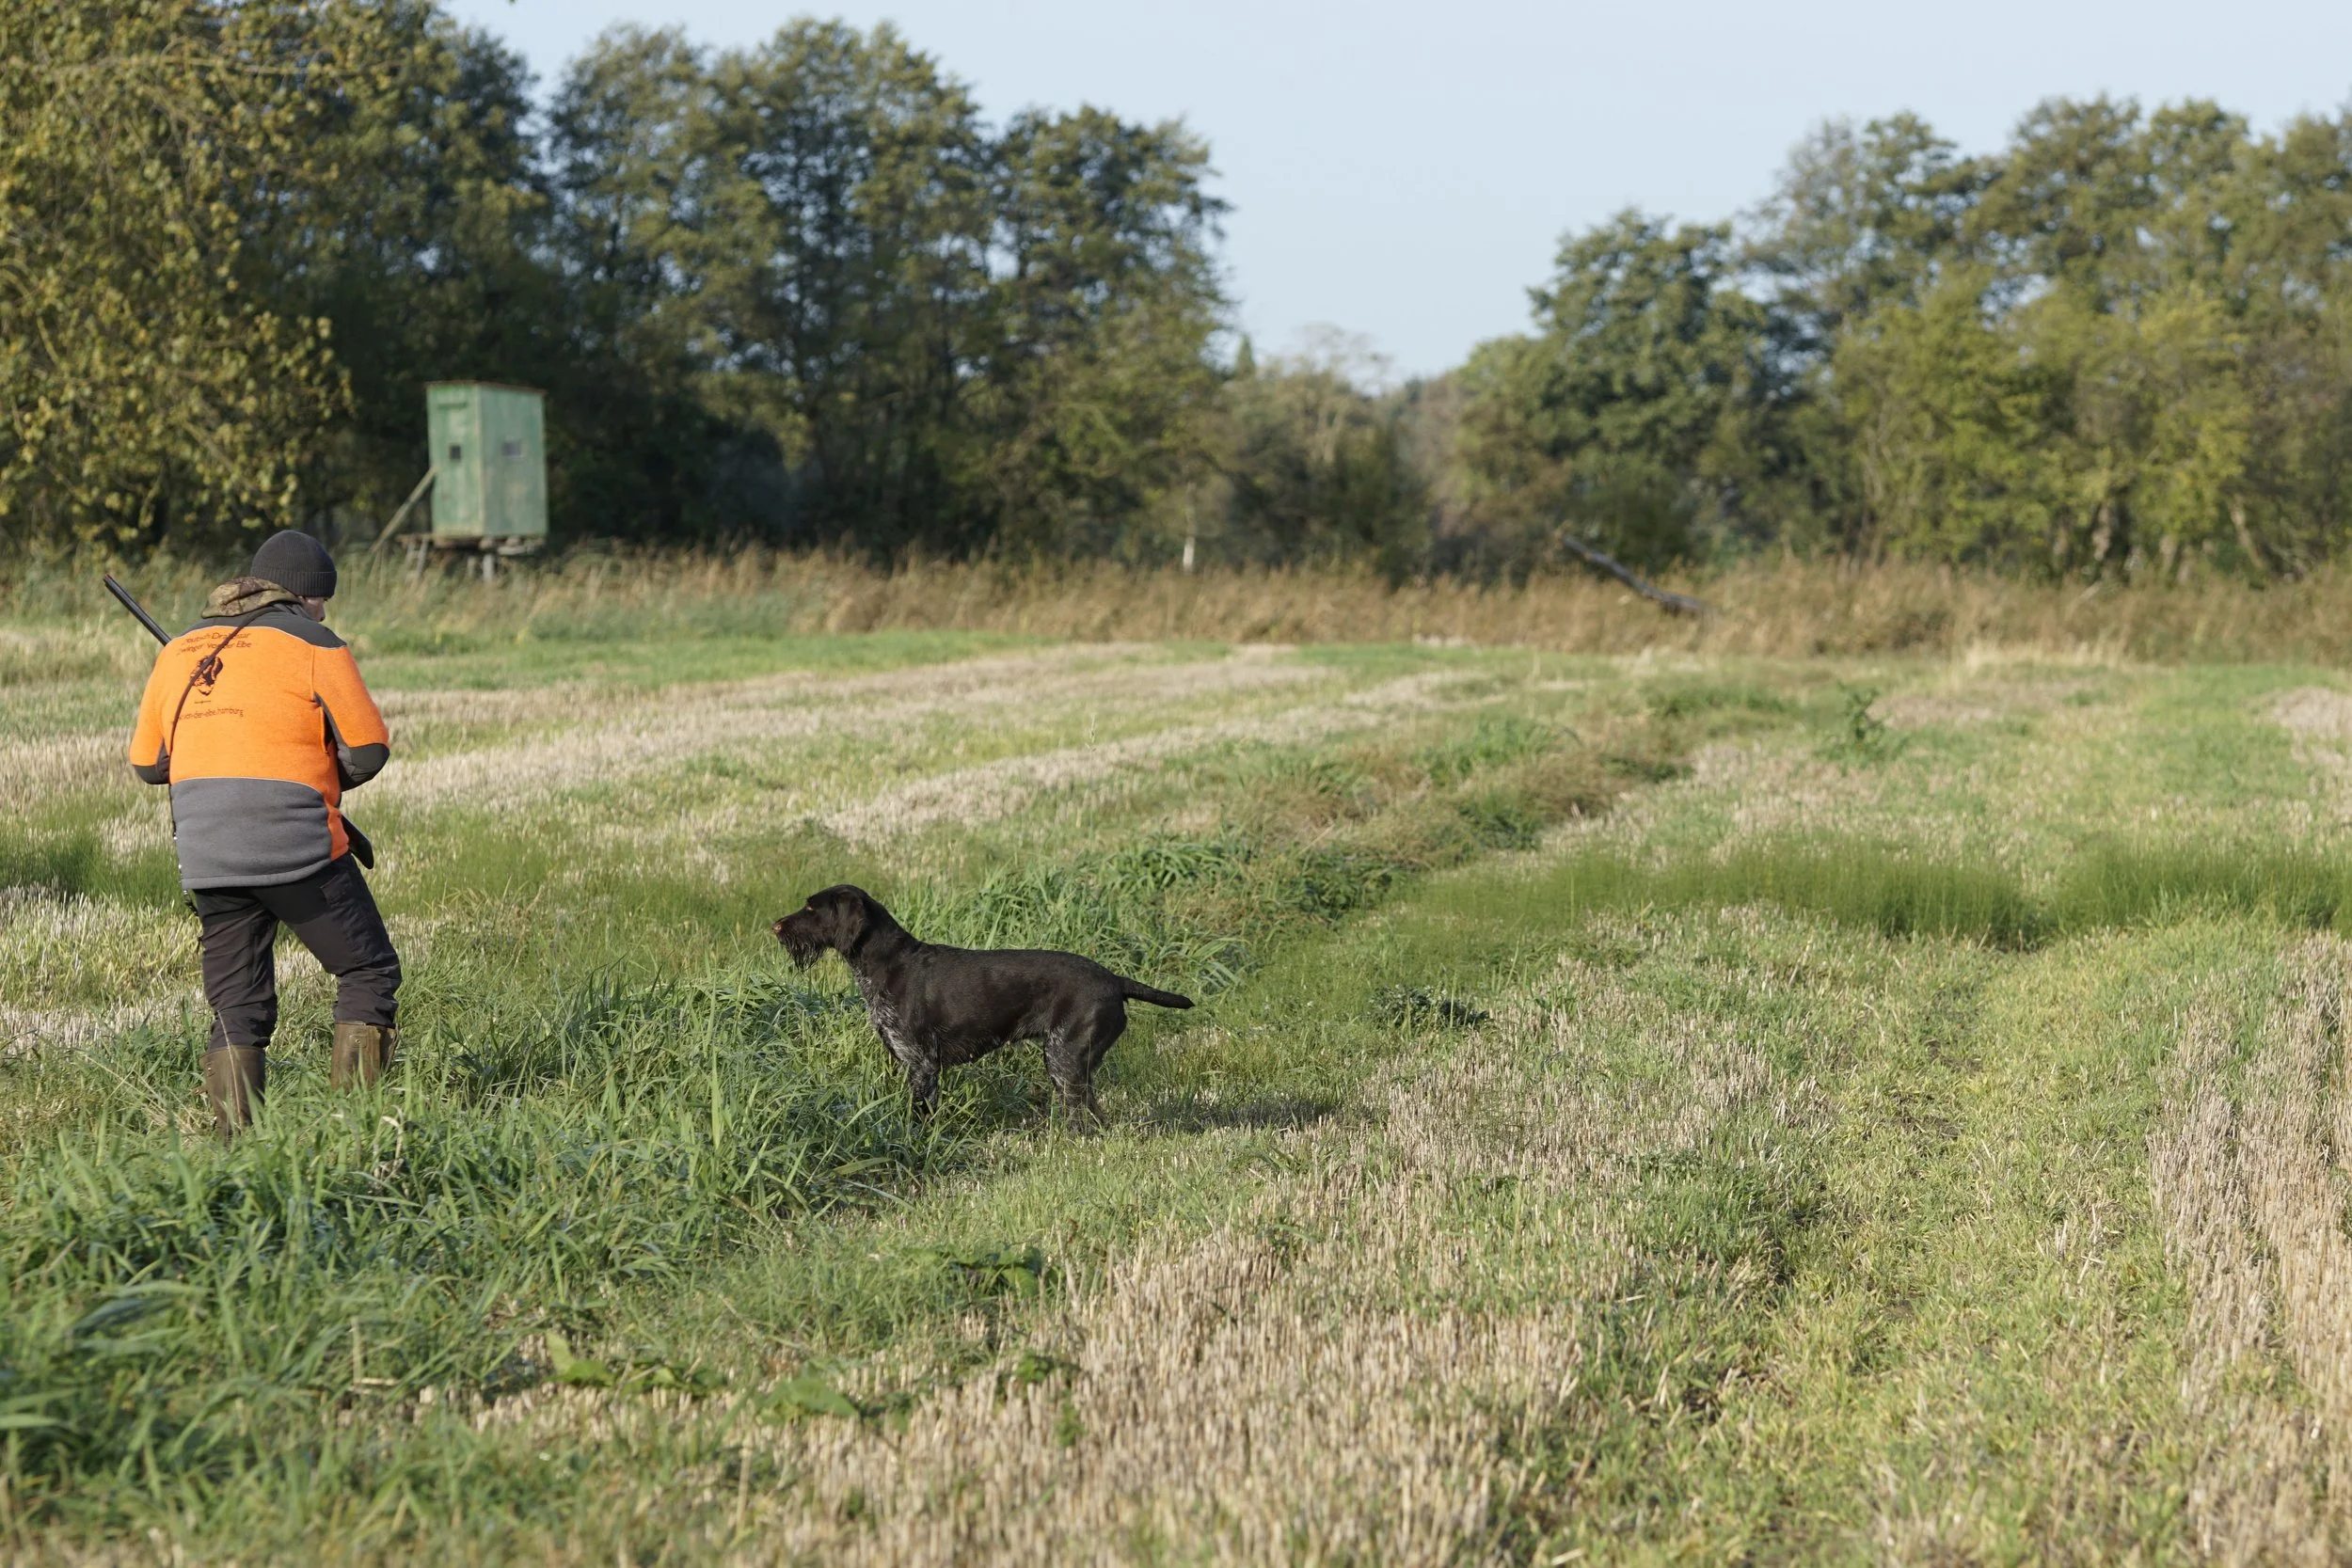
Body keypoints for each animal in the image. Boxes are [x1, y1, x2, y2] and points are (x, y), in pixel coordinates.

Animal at [773, 884, 1192, 1118]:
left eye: (811, 908)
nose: (775, 926)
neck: (887, 964)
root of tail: (1113, 980)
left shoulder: (923, 1064)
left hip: (1065, 1059)